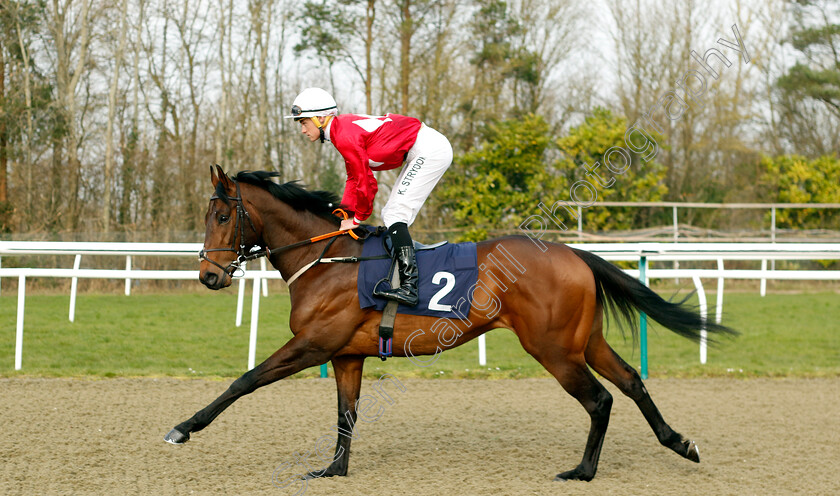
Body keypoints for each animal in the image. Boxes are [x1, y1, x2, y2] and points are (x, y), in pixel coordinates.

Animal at [164, 166, 736, 480]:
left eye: (221, 215)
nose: (209, 275)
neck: (325, 259)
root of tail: (572, 253)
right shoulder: (346, 354)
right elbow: (346, 414)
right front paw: (334, 469)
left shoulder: (313, 344)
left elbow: (244, 380)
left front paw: (183, 428)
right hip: (584, 341)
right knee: (633, 382)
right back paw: (679, 443)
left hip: (553, 349)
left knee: (599, 400)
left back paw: (583, 472)